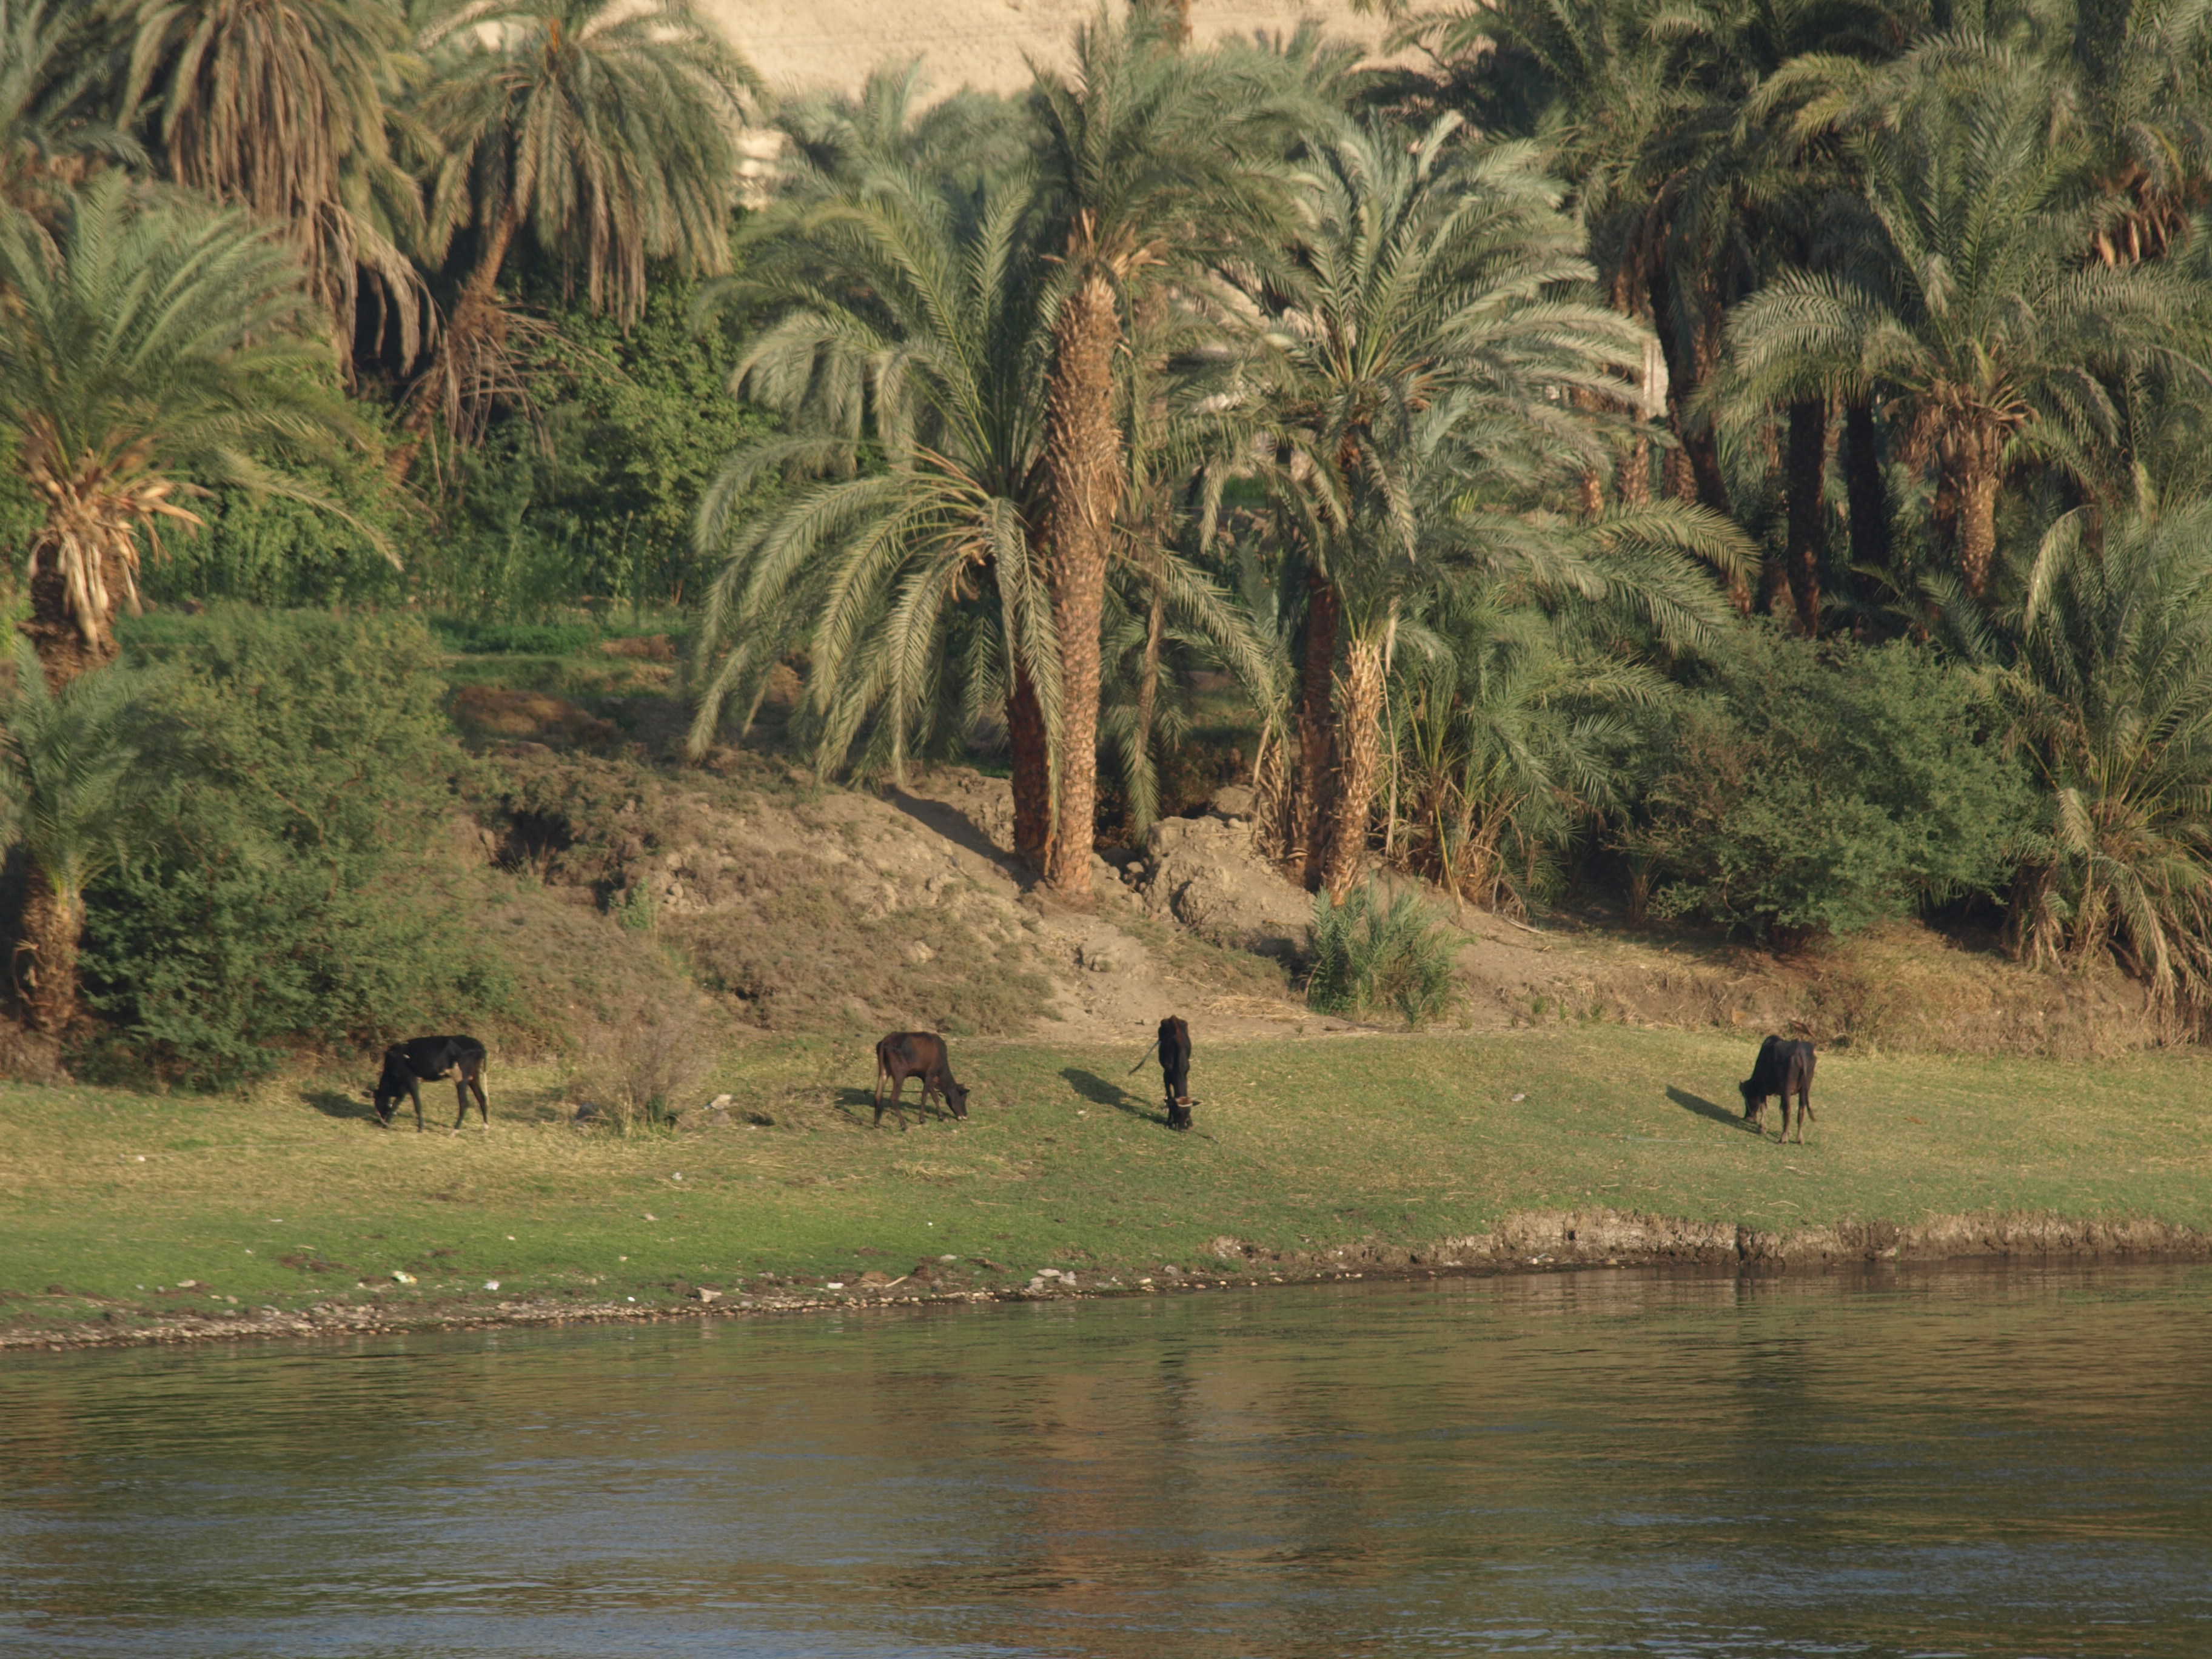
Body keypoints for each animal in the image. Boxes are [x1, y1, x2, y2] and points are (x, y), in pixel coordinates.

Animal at [367, 1039, 489, 1132]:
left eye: (377, 1103)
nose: (380, 1120)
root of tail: (477, 1043)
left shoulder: (411, 1079)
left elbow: (417, 1105)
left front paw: (420, 1128)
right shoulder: (405, 1085)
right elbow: (396, 1103)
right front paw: (387, 1124)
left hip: (460, 1078)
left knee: (464, 1103)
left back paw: (454, 1131)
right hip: (473, 1077)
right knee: (482, 1098)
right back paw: (485, 1129)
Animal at [871, 1035, 968, 1141]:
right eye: (963, 1096)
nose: (965, 1115)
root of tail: (885, 1041)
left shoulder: (924, 1076)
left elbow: (935, 1097)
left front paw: (942, 1117)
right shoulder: (930, 1074)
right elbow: (925, 1097)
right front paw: (922, 1120)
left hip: (884, 1072)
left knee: (878, 1094)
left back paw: (877, 1124)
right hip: (900, 1074)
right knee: (894, 1098)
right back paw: (905, 1126)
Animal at [1159, 1013, 1194, 1132]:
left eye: (1189, 1111)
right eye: (1176, 1112)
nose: (1182, 1129)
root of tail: (1173, 1017)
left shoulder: (1186, 1074)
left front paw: (1191, 1123)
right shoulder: (1166, 1075)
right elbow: (1170, 1097)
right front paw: (1169, 1122)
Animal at [1734, 1039, 1822, 1141]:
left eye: (1747, 1097)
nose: (1748, 1117)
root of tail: (1800, 1051)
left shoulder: (1762, 1090)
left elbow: (1764, 1108)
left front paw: (1762, 1128)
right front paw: (1788, 1131)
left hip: (1788, 1089)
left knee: (1788, 1109)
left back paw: (1783, 1138)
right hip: (1804, 1089)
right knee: (1801, 1110)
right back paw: (1799, 1139)